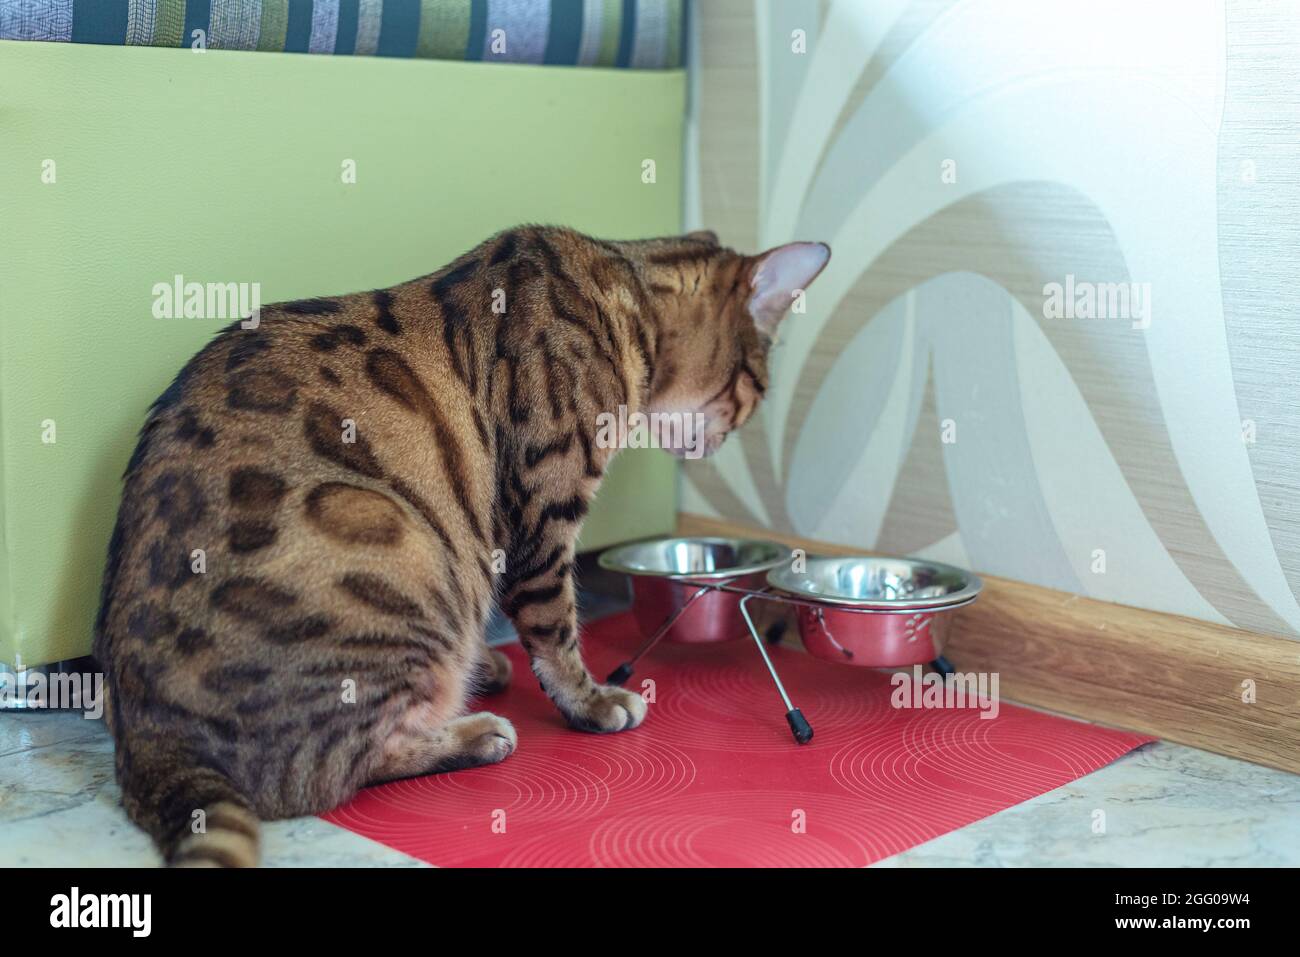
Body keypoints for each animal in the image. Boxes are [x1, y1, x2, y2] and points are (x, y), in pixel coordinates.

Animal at [98, 226, 832, 868]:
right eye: (758, 388)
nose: (724, 442)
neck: (618, 291)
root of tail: (147, 739)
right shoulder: (545, 512)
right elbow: (556, 628)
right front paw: (592, 701)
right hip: (398, 541)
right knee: (325, 774)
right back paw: (476, 732)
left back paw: (480, 675)